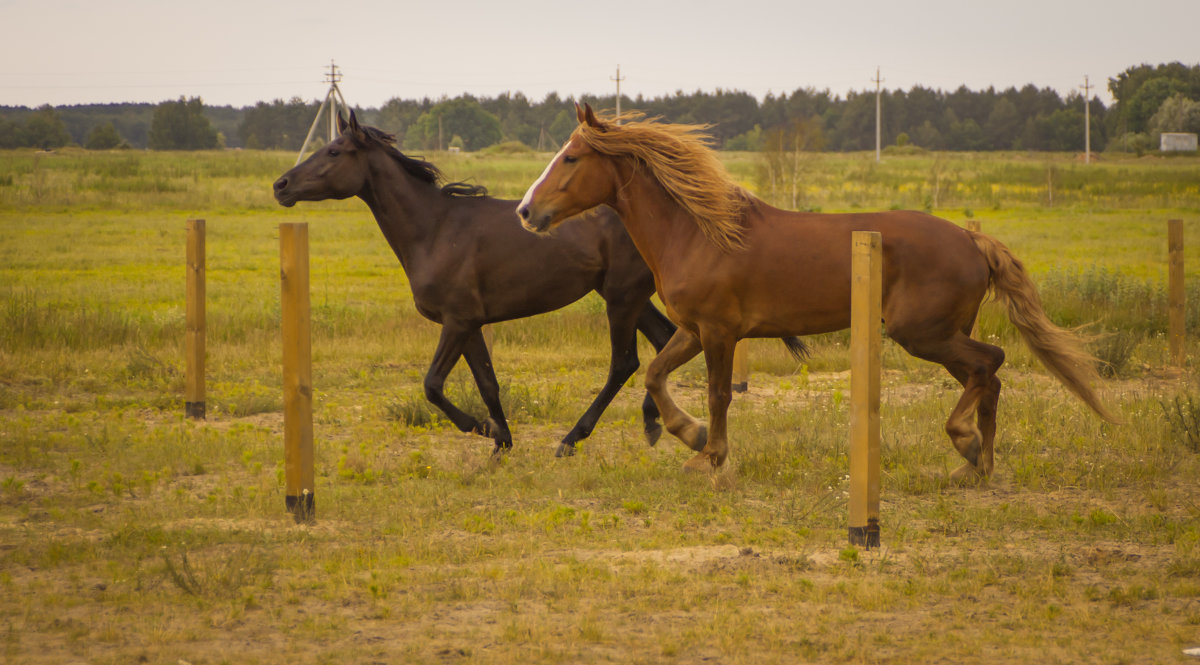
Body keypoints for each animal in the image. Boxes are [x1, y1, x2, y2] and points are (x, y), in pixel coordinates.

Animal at [520, 102, 1118, 475]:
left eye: (571, 157)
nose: (527, 211)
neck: (699, 231)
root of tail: (972, 239)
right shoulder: (692, 331)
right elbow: (655, 374)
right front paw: (690, 436)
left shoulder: (719, 333)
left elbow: (717, 394)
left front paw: (708, 455)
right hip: (942, 336)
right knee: (986, 377)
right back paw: (976, 465)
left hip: (923, 334)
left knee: (991, 363)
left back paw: (967, 443)